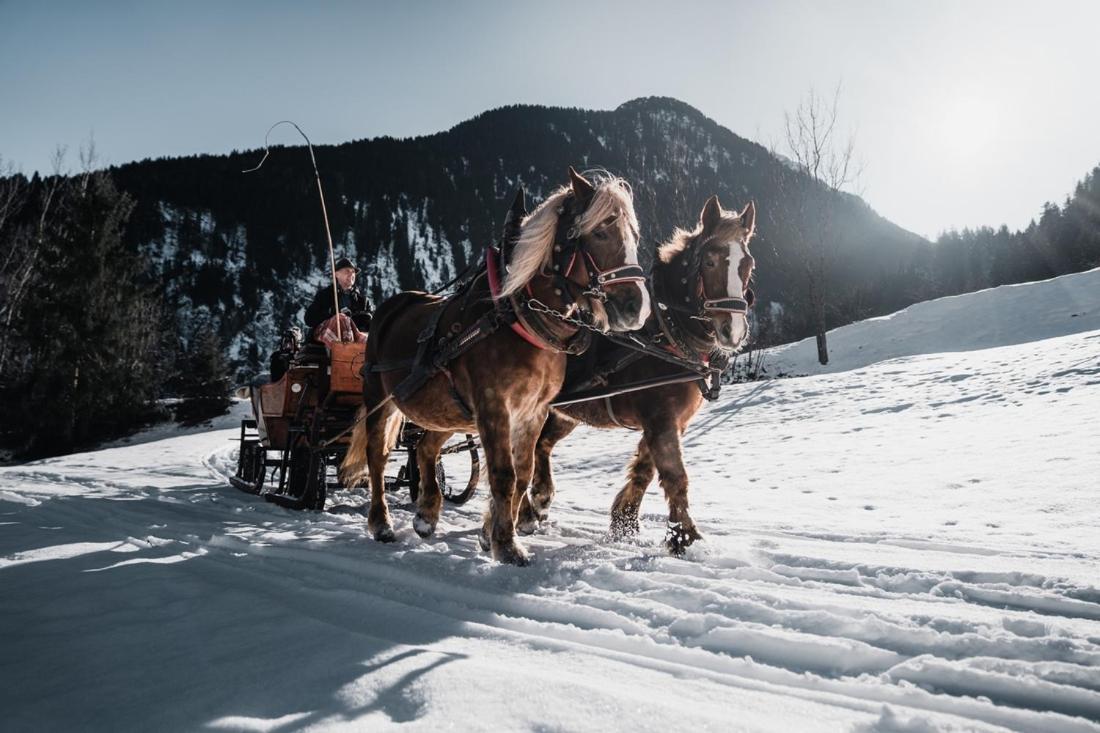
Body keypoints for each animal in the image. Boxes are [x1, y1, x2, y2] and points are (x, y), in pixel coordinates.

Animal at [341, 169, 651, 563]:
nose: (635, 307)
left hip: (450, 411)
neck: (518, 317)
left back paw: (426, 516)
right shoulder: (493, 406)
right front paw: (506, 545)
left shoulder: (533, 411)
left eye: (634, 235)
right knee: (377, 457)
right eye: (600, 232)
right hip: (381, 398)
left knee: (425, 447)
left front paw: (493, 535)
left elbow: (523, 473)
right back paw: (381, 523)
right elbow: (504, 475)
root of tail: (390, 307)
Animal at [514, 193, 756, 554]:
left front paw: (624, 522)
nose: (733, 331)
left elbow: (645, 468)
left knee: (540, 446)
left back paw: (539, 499)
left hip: (562, 413)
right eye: (710, 262)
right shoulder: (660, 417)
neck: (665, 333)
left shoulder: (670, 421)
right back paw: (525, 512)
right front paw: (685, 537)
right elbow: (674, 474)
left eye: (747, 265)